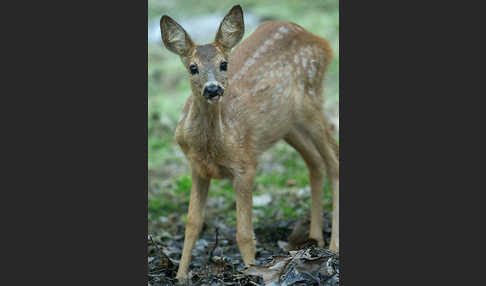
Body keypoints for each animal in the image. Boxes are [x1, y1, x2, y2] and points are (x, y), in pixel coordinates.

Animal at [159, 4, 338, 280]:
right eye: (193, 67)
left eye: (224, 64)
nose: (213, 89)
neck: (212, 146)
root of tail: (319, 39)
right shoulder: (197, 168)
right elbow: (192, 223)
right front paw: (180, 276)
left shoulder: (245, 165)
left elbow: (244, 233)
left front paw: (251, 271)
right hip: (287, 125)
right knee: (315, 161)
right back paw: (315, 238)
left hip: (311, 102)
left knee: (333, 160)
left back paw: (333, 245)